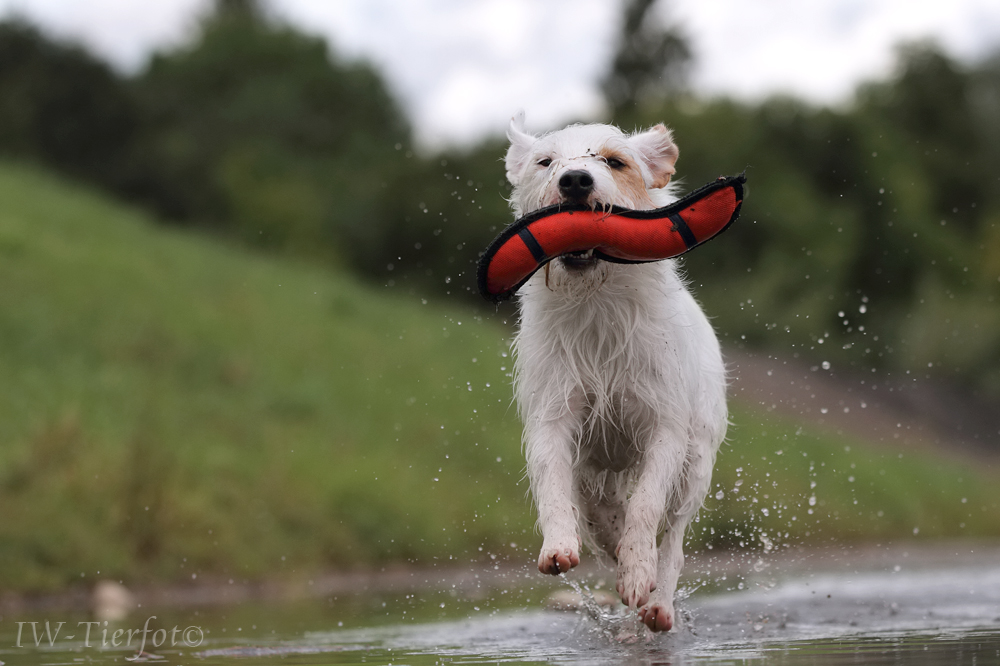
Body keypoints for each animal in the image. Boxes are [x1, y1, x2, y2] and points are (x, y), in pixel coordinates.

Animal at [508, 114, 728, 632]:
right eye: (545, 162)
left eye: (615, 161)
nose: (574, 181)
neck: (597, 304)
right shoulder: (554, 414)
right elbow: (550, 479)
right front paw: (559, 545)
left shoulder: (666, 427)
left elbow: (648, 505)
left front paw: (638, 571)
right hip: (593, 473)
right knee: (600, 512)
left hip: (697, 464)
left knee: (674, 539)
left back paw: (657, 599)